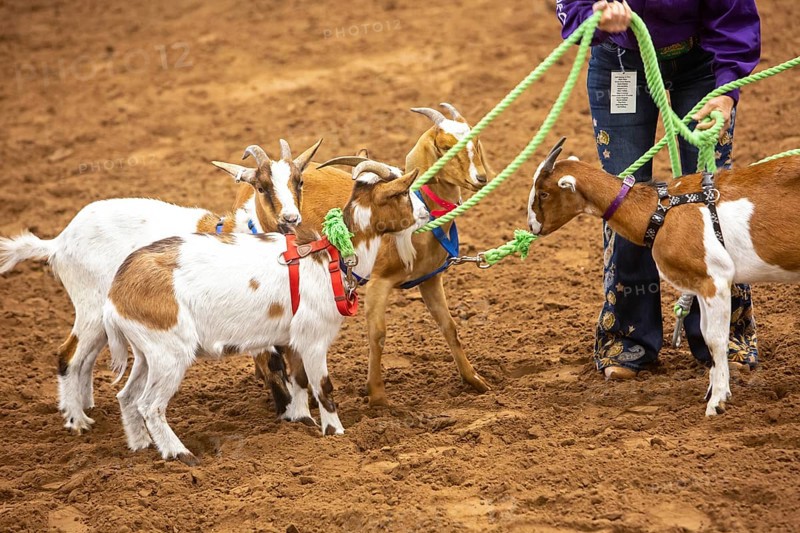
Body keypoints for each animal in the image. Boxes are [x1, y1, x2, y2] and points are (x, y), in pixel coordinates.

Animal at [0, 140, 319, 433]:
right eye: (262, 187)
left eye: (299, 181)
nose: (290, 219)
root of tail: (58, 243)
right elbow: (274, 365)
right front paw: (291, 417)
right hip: (91, 306)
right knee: (69, 355)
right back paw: (77, 422)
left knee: (86, 359)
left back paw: (86, 405)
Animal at [103, 163, 429, 464]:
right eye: (402, 193)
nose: (425, 213)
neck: (330, 255)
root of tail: (116, 291)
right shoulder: (313, 337)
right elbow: (323, 388)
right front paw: (335, 434)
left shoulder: (293, 338)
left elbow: (299, 380)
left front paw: (301, 423)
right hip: (170, 353)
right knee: (150, 405)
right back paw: (180, 453)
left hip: (147, 352)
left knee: (127, 396)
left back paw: (141, 447)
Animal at [222, 103, 493, 408]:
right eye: (445, 146)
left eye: (476, 140)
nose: (481, 179)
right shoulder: (378, 282)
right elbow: (378, 335)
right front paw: (377, 396)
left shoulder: (429, 280)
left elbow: (449, 326)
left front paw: (474, 380)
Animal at [527, 137, 800, 416]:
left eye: (544, 193)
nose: (532, 226)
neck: (658, 212)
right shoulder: (700, 283)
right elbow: (705, 334)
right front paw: (714, 391)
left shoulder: (715, 278)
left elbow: (716, 339)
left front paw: (717, 402)